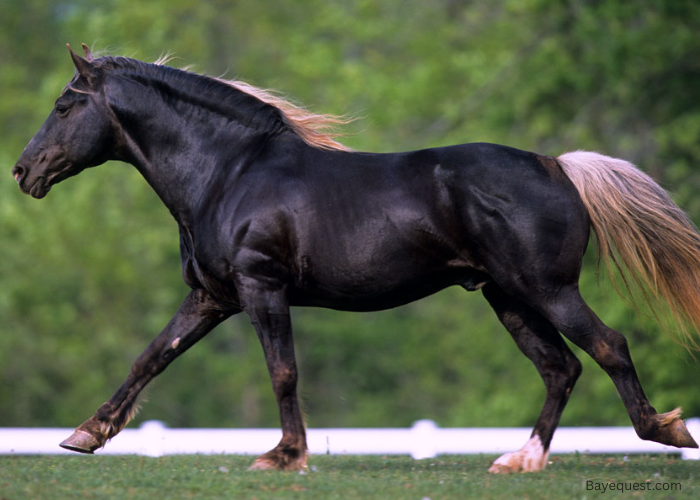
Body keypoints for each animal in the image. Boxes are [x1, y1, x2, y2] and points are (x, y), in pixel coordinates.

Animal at [12, 44, 700, 472]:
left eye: (65, 105)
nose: (23, 172)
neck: (229, 173)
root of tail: (557, 166)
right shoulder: (213, 297)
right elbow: (151, 356)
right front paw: (86, 434)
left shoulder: (261, 288)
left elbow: (282, 371)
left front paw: (284, 455)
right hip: (508, 297)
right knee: (560, 368)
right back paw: (519, 460)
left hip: (547, 289)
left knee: (608, 347)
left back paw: (666, 430)